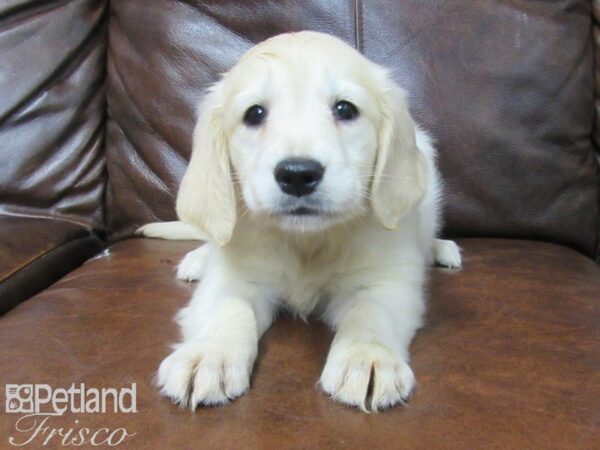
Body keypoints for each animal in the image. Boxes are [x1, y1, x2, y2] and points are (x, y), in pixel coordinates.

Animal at [138, 30, 462, 412]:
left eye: (345, 109)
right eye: (254, 114)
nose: (297, 175)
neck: (306, 242)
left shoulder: (386, 281)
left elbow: (368, 313)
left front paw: (366, 358)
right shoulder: (234, 278)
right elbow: (229, 309)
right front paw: (209, 355)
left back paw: (442, 249)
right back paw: (197, 259)